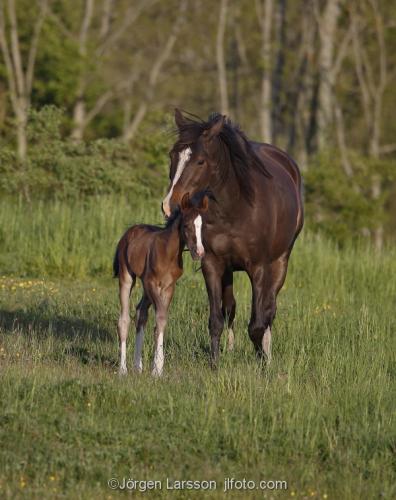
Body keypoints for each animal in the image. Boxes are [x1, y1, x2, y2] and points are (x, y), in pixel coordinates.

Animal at [113, 191, 209, 376]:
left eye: (203, 227)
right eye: (186, 225)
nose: (199, 252)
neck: (167, 253)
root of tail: (129, 232)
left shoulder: (168, 287)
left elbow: (161, 320)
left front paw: (157, 367)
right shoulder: (152, 283)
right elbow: (160, 317)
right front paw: (157, 368)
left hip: (146, 288)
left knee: (141, 313)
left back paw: (138, 366)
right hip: (127, 277)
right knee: (125, 319)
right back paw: (123, 369)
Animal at [161, 110, 304, 368]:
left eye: (200, 161)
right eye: (172, 155)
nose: (169, 205)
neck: (235, 209)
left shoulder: (258, 268)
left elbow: (257, 324)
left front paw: (262, 363)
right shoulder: (212, 264)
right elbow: (216, 319)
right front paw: (215, 364)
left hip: (280, 262)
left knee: (270, 309)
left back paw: (267, 352)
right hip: (228, 270)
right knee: (230, 308)